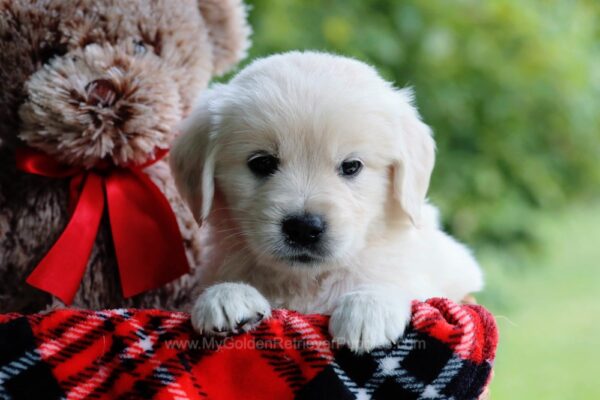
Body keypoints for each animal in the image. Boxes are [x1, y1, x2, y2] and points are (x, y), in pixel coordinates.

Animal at [169, 50, 482, 354]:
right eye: (262, 163)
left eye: (352, 166)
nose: (303, 228)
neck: (308, 281)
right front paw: (226, 295)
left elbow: (406, 282)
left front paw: (368, 308)